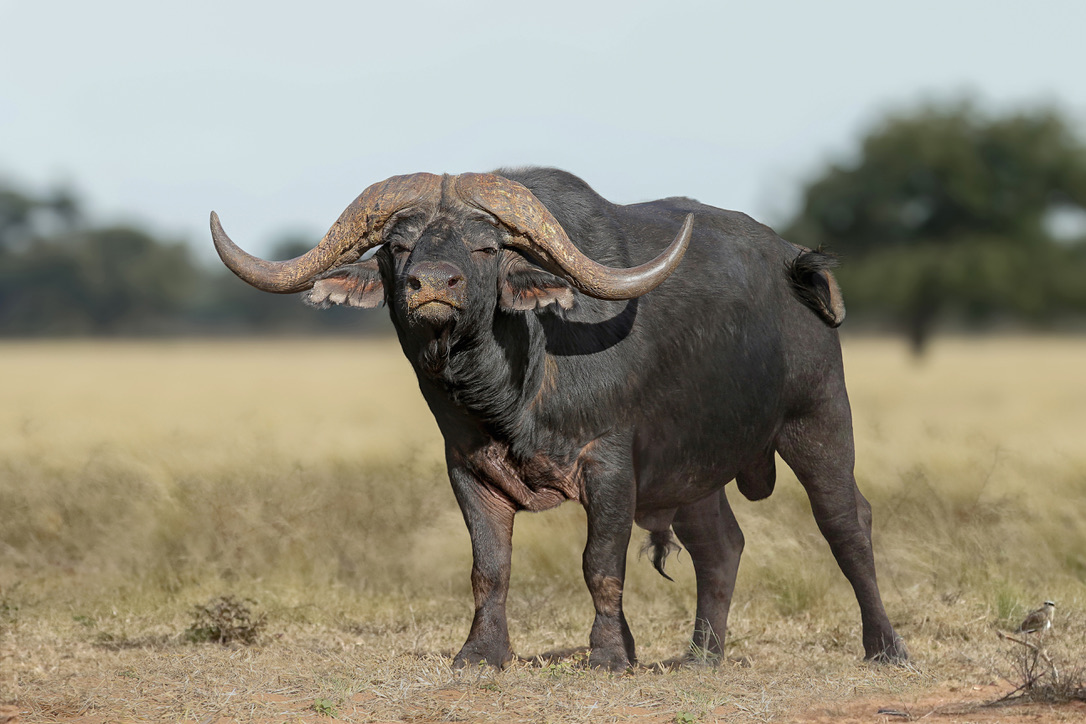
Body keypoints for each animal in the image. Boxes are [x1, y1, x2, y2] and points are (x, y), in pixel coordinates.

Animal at [211, 168, 906, 670]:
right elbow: (489, 566)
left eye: (486, 246)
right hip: (690, 472)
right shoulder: (468, 467)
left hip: (819, 421)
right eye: (399, 245)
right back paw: (701, 656)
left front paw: (608, 655)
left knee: (847, 522)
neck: (512, 387)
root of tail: (797, 266)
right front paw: (482, 653)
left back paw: (885, 647)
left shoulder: (610, 464)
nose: (432, 285)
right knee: (721, 545)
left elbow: (600, 563)